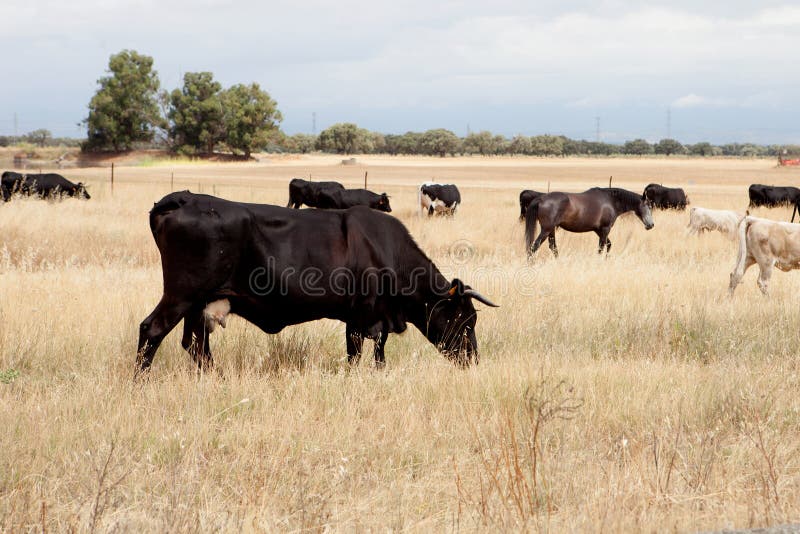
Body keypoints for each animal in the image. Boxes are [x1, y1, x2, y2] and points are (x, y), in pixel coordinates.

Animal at [137, 191, 496, 374]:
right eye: (463, 319)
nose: (473, 360)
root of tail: (181, 199)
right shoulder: (362, 317)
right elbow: (357, 353)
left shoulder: (370, 317)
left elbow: (377, 354)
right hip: (181, 294)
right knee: (152, 330)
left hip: (198, 303)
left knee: (196, 345)